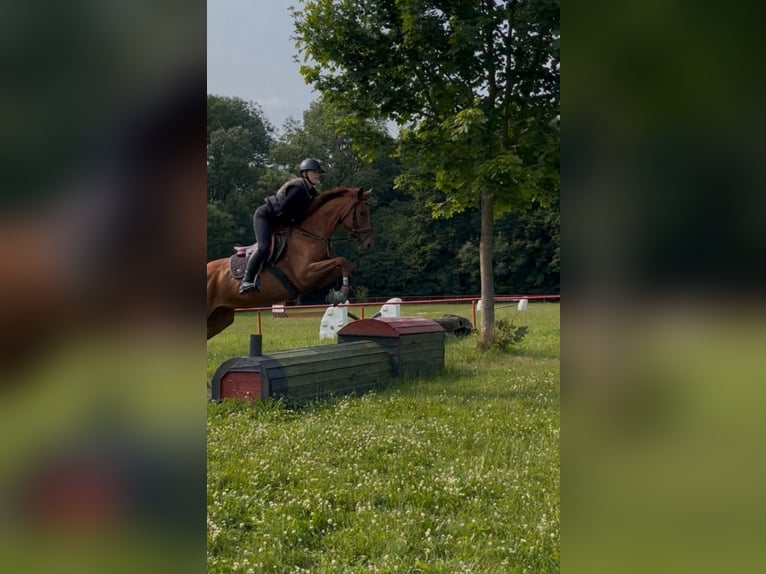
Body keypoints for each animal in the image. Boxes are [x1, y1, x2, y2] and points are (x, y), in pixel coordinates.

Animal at [206, 186, 374, 339]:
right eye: (362, 213)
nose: (369, 243)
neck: (311, 235)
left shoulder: (317, 277)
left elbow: (346, 266)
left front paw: (336, 295)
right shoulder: (305, 275)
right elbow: (342, 261)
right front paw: (342, 292)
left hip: (220, 318)